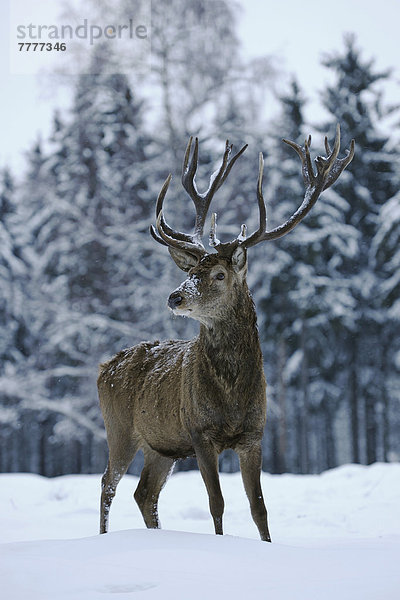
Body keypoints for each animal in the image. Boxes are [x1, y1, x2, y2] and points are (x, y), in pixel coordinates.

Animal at [98, 124, 354, 540]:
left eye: (219, 274)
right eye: (191, 270)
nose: (175, 296)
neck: (232, 397)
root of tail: (105, 366)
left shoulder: (254, 435)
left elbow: (259, 507)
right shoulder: (200, 432)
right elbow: (216, 503)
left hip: (161, 445)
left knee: (144, 493)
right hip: (118, 426)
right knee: (108, 484)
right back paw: (102, 536)